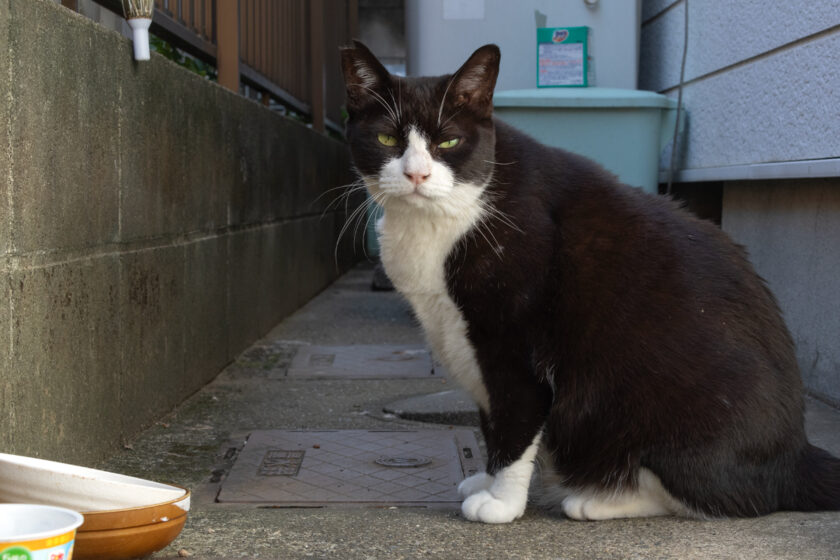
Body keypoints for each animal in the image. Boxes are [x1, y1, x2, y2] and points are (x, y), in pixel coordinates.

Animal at [336, 40, 840, 524]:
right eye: (386, 138)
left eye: (449, 140)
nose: (416, 174)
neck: (441, 220)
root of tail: (796, 452)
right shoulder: (463, 341)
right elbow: (490, 420)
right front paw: (486, 480)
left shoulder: (513, 346)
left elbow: (514, 420)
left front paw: (501, 502)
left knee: (720, 498)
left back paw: (596, 500)